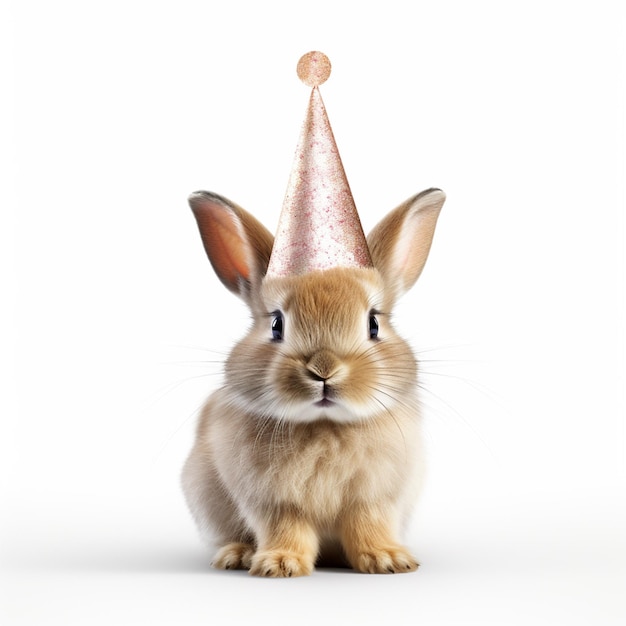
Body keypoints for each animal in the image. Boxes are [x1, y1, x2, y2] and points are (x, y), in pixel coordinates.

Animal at [180, 186, 444, 576]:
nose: (324, 369)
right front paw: (279, 564)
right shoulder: (273, 502)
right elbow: (285, 528)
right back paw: (238, 555)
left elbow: (369, 525)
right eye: (276, 324)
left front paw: (387, 560)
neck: (325, 425)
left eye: (373, 324)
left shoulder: (375, 499)